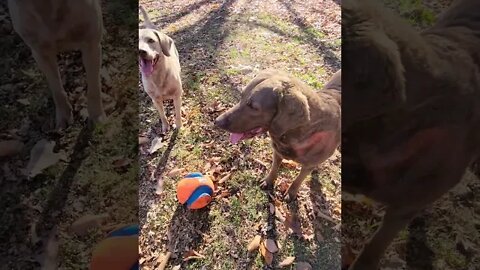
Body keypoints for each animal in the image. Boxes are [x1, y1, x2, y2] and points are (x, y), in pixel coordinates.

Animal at [7, 0, 105, 129]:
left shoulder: (91, 43)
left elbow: (94, 87)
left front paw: (97, 117)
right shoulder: (40, 53)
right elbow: (56, 88)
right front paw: (64, 116)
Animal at [214, 69, 342, 200]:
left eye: (253, 106)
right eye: (241, 96)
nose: (217, 121)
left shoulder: (307, 165)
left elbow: (298, 179)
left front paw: (291, 192)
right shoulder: (277, 152)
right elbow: (274, 168)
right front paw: (268, 181)